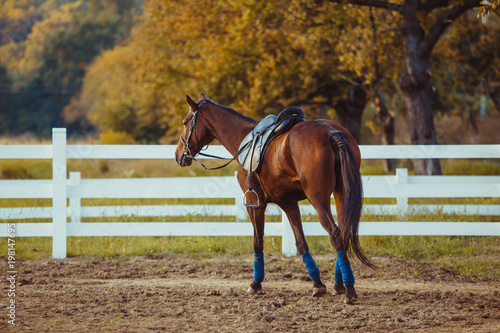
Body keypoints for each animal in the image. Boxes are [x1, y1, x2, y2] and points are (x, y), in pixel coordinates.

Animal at [176, 92, 376, 300]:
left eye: (185, 122)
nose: (179, 154)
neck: (243, 140)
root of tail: (331, 132)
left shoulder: (255, 204)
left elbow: (258, 243)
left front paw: (255, 284)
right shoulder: (288, 203)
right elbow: (301, 243)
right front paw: (317, 283)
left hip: (318, 199)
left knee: (335, 234)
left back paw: (349, 289)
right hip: (340, 194)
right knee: (344, 232)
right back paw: (339, 284)